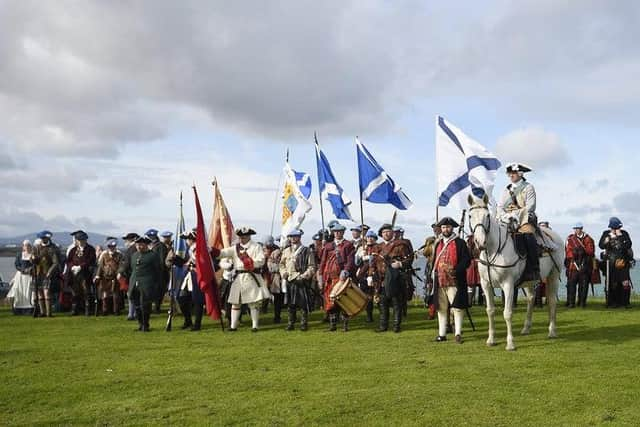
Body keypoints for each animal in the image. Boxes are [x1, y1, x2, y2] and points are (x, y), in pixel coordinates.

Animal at [468, 196, 564, 352]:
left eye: (487, 215)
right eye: (470, 216)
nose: (480, 242)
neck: (494, 250)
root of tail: (555, 237)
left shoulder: (508, 285)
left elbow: (507, 313)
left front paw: (510, 343)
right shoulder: (485, 285)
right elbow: (490, 311)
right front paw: (491, 339)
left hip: (553, 276)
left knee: (551, 301)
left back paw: (552, 331)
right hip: (529, 281)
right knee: (531, 299)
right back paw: (526, 328)